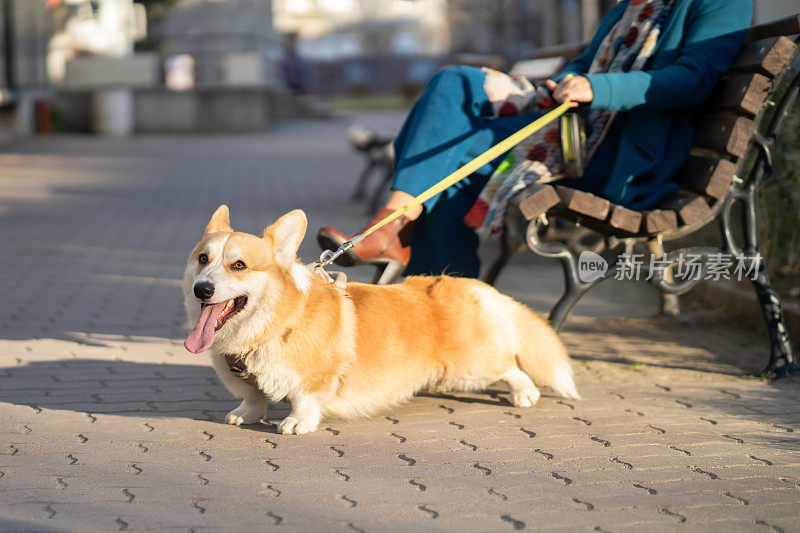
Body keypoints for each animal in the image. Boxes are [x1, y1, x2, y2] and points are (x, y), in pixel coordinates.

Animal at [184, 206, 580, 434]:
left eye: (239, 265)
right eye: (203, 259)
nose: (202, 290)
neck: (272, 323)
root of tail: (476, 287)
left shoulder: (316, 379)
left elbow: (304, 400)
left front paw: (297, 423)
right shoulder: (246, 380)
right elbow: (253, 396)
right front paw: (246, 415)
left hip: (471, 365)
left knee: (510, 365)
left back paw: (525, 393)